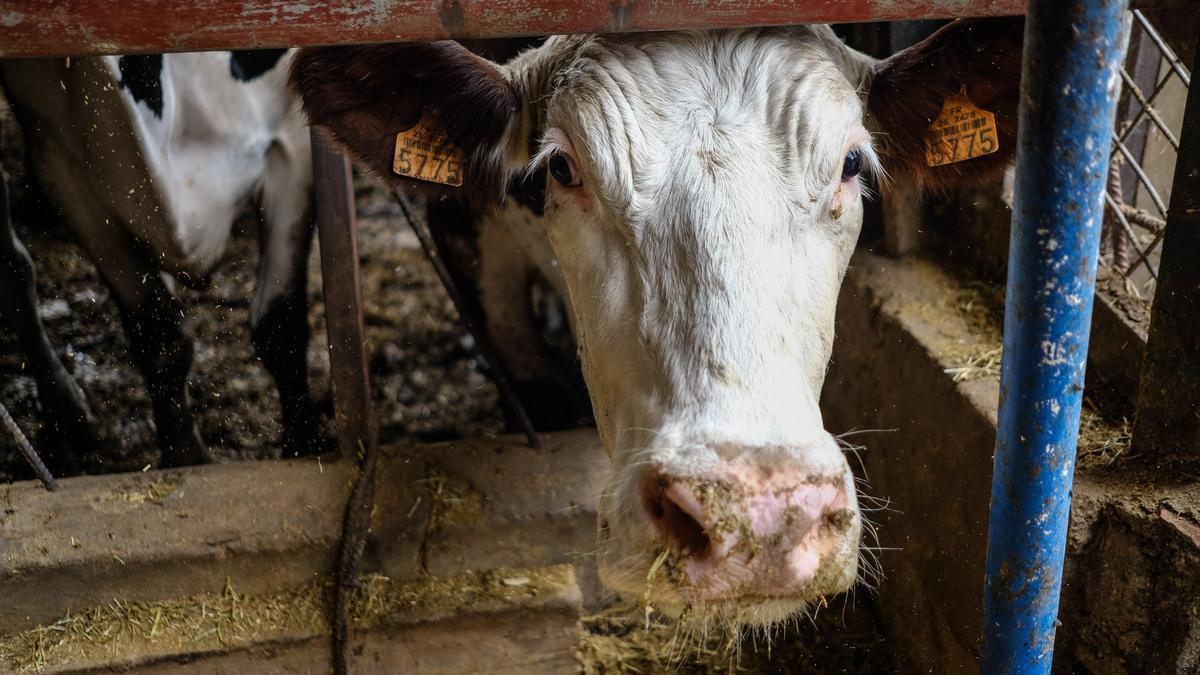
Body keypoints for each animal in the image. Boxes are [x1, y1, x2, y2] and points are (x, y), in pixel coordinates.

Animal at [0, 51, 321, 468]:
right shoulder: (69, 179)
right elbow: (160, 337)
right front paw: (186, 457)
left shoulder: (293, 143)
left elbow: (280, 323)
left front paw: (304, 447)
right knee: (15, 272)